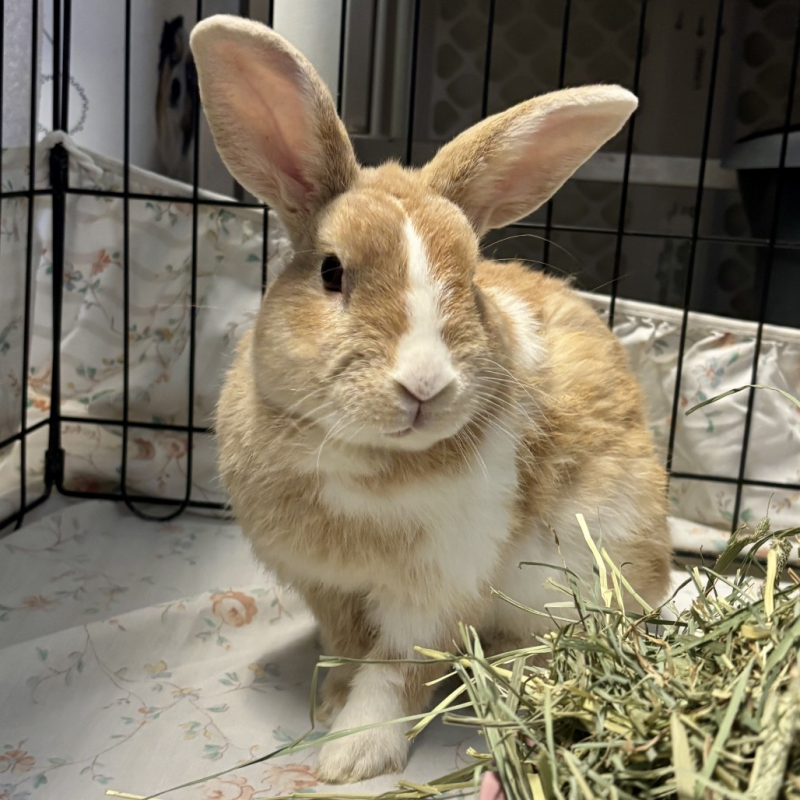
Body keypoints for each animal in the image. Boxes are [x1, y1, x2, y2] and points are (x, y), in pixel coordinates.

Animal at [191, 15, 672, 785]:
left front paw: (350, 755)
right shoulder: (330, 590)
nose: (425, 385)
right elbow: (349, 648)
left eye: (469, 277)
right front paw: (330, 701)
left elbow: (396, 672)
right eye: (331, 271)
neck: (361, 461)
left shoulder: (435, 592)